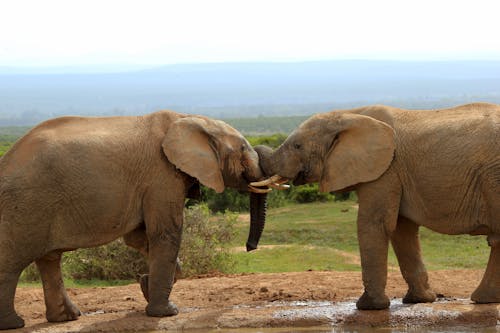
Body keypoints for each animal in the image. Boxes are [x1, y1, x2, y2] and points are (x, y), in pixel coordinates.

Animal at [0, 109, 270, 330]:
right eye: (243, 149)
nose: (250, 247)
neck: (190, 118)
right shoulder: (162, 175)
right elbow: (165, 234)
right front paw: (166, 312)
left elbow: (139, 238)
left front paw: (146, 285)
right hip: (26, 204)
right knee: (13, 262)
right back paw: (14, 323)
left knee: (49, 259)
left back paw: (67, 318)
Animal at [254, 102, 500, 308]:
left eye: (297, 146)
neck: (349, 114)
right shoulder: (394, 173)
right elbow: (402, 230)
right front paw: (419, 300)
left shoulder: (385, 169)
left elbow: (374, 224)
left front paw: (368, 307)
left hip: (492, 176)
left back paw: (483, 299)